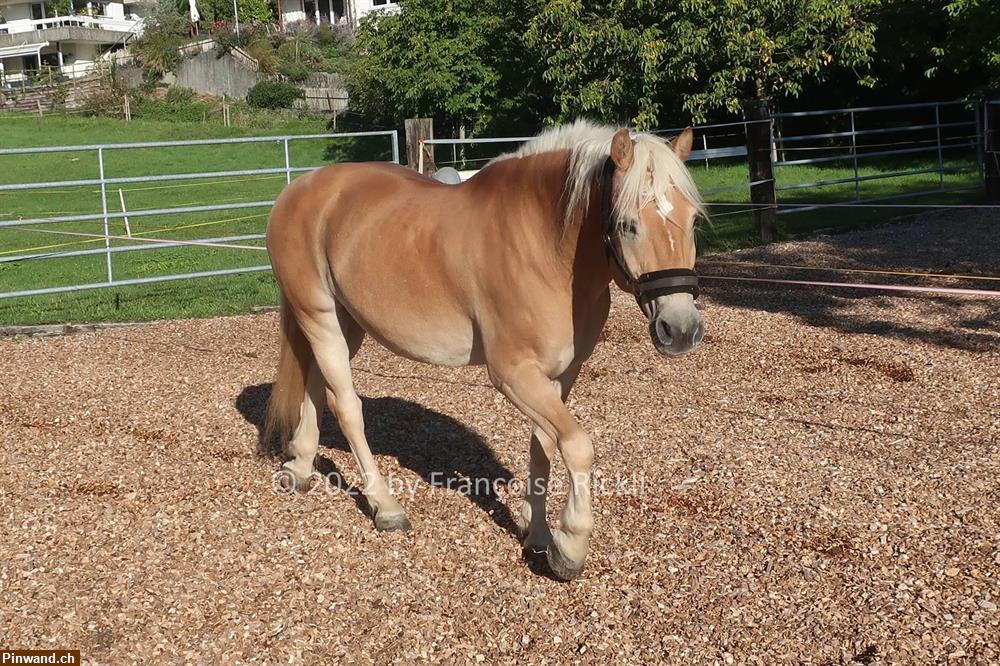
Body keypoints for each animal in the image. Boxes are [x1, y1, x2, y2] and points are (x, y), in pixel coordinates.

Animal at [262, 119, 708, 576]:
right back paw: (385, 506)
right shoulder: (511, 374)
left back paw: (300, 467)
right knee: (347, 407)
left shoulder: (561, 373)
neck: (544, 245)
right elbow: (577, 446)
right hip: (318, 315)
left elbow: (544, 447)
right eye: (627, 224)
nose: (680, 329)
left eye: (692, 220)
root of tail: (297, 190)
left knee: (317, 384)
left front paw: (538, 532)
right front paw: (569, 545)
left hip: (345, 323)